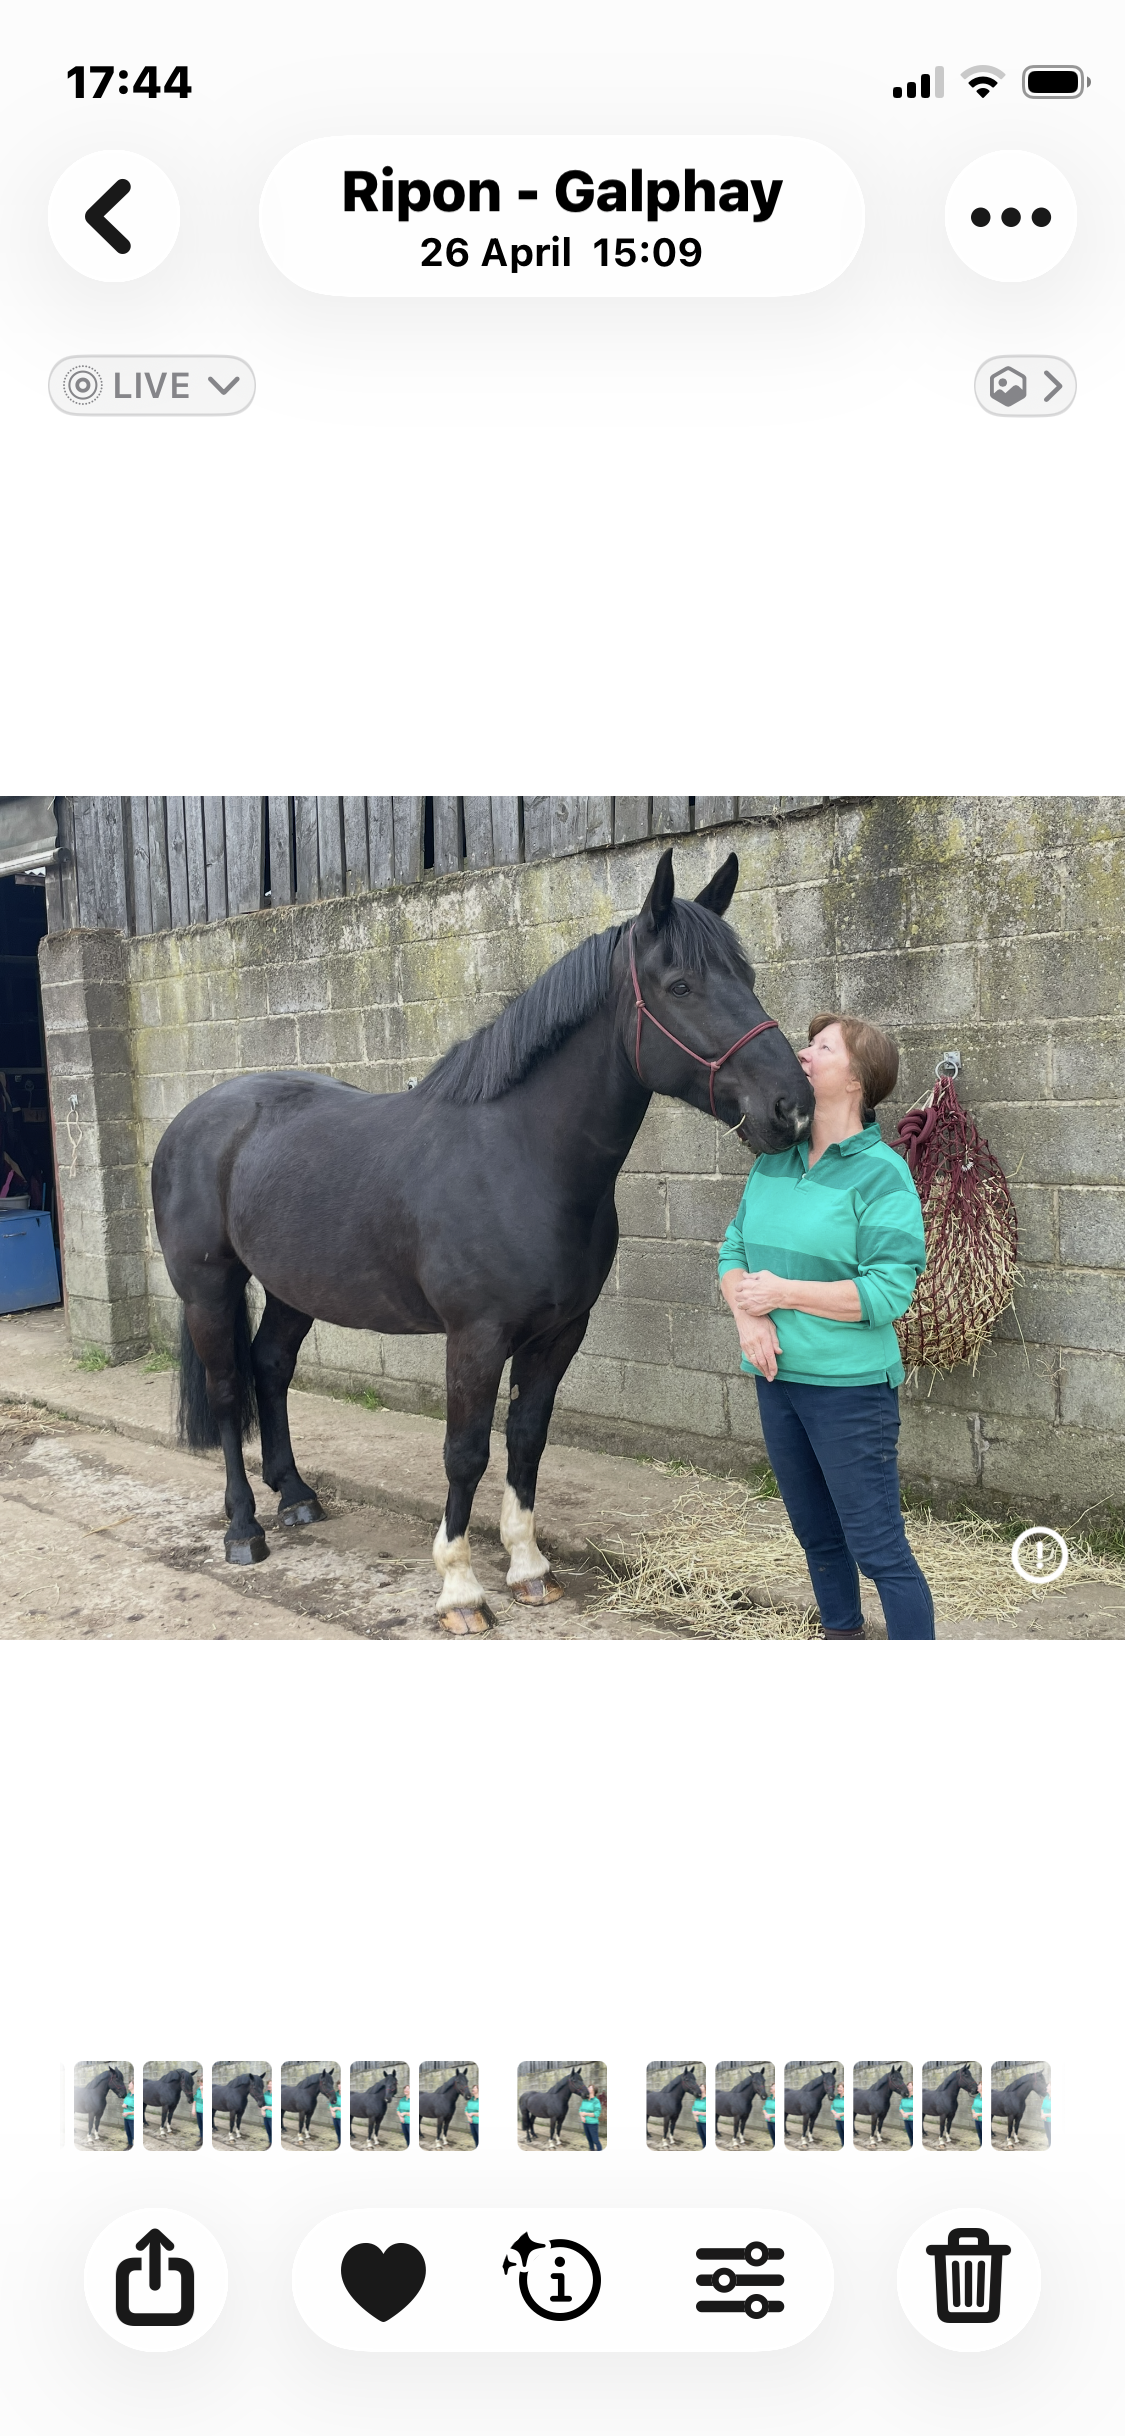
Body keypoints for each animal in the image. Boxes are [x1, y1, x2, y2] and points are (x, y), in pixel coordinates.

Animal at [152, 848, 813, 1634]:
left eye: (745, 977)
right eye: (681, 985)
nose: (793, 1107)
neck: (520, 1159)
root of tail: (193, 1116)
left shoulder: (559, 1333)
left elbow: (526, 1437)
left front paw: (528, 1569)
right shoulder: (475, 1336)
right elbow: (464, 1451)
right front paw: (460, 1589)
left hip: (294, 1288)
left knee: (271, 1368)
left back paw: (298, 1497)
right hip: (208, 1287)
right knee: (228, 1391)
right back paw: (244, 1527)